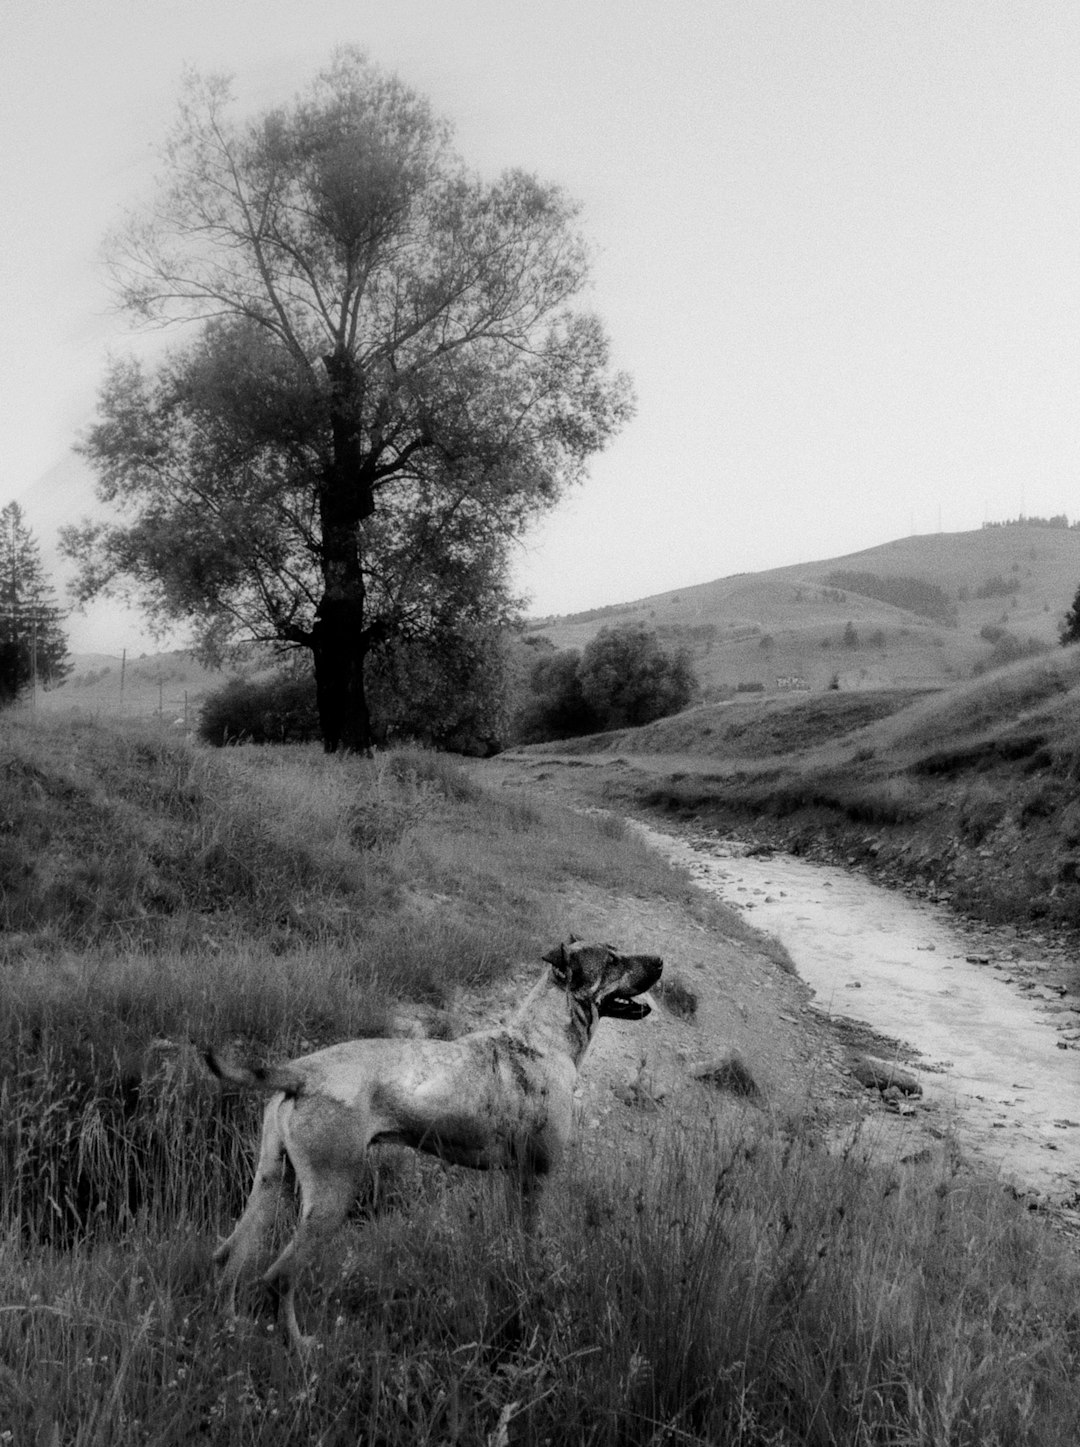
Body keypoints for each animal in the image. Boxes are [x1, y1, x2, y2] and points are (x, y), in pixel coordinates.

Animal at [201, 931, 657, 1348]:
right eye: (613, 961)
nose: (660, 961)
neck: (544, 1039)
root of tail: (303, 1072)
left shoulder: (517, 1181)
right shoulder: (536, 1177)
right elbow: (532, 1244)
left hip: (271, 1183)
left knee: (229, 1256)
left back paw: (230, 1325)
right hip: (331, 1196)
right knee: (278, 1277)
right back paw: (301, 1347)